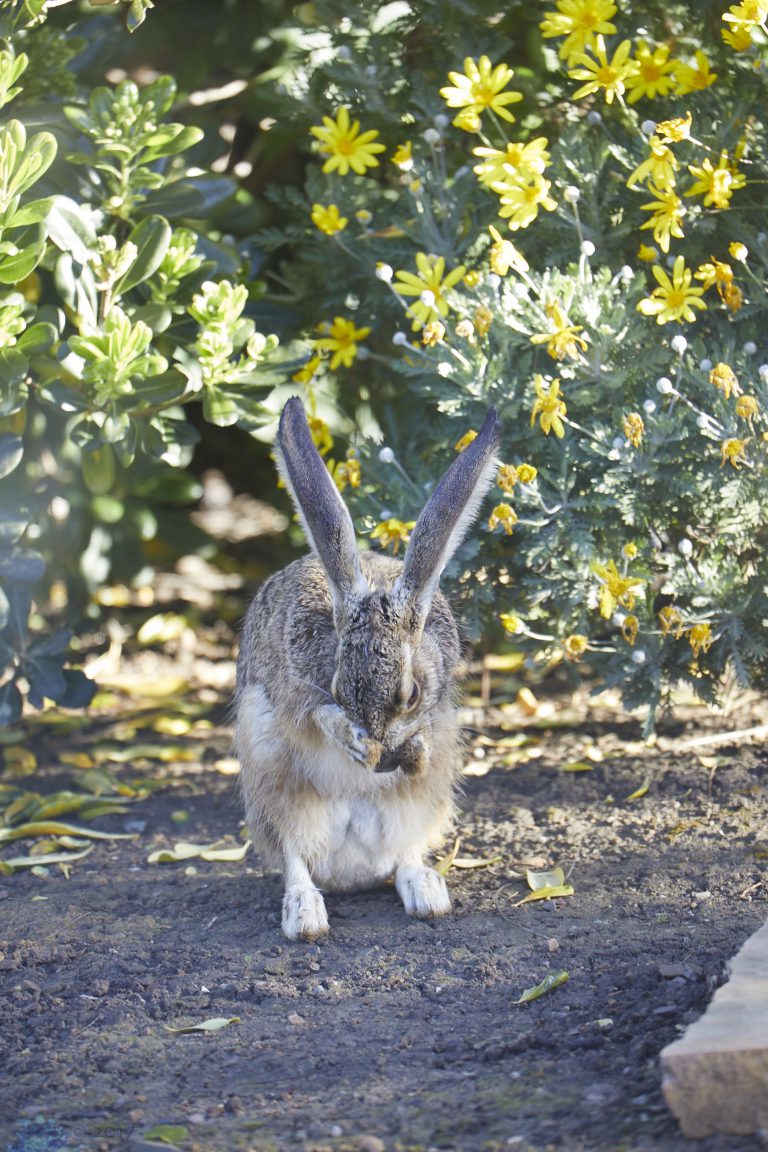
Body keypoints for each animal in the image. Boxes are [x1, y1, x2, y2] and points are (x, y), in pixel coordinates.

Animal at [235, 397, 502, 940]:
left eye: (413, 695)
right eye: (340, 687)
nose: (382, 757)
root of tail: (352, 873)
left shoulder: (438, 709)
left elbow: (424, 730)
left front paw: (412, 750)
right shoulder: (294, 690)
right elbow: (316, 716)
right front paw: (355, 741)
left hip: (423, 801)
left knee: (405, 854)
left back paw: (426, 893)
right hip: (271, 780)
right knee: (295, 855)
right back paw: (306, 915)